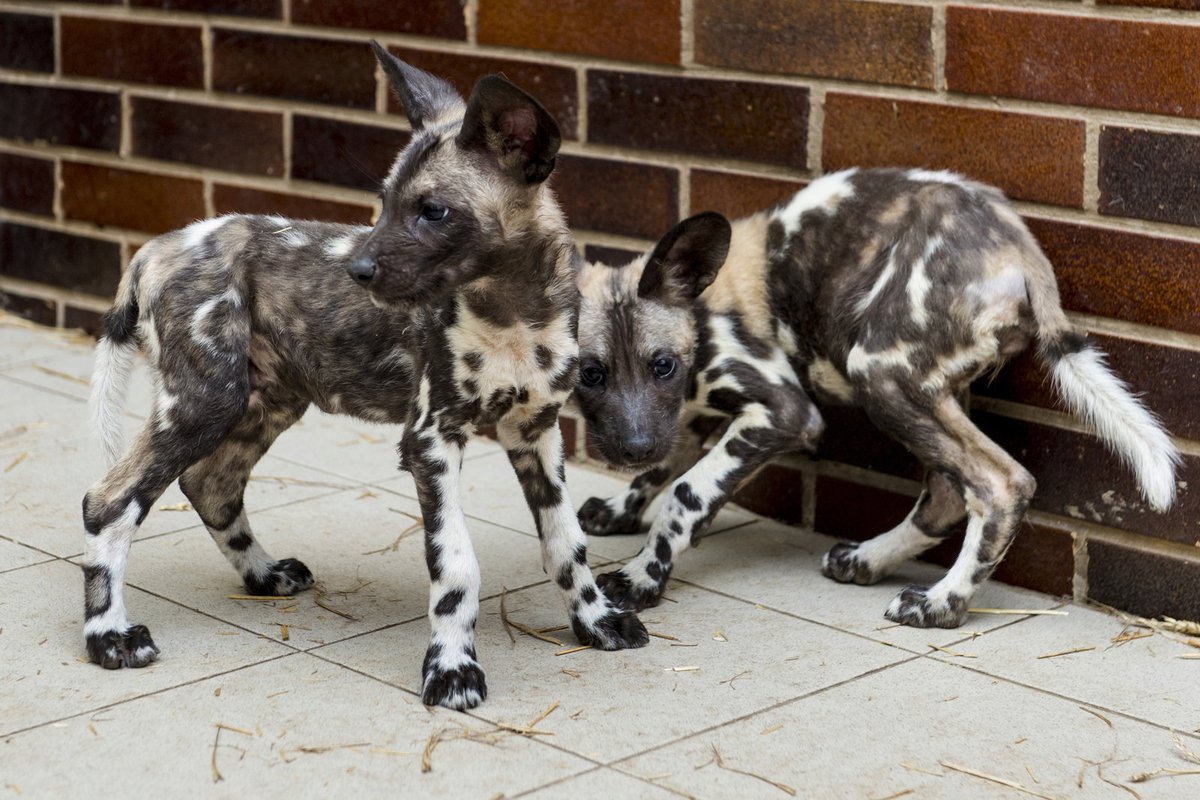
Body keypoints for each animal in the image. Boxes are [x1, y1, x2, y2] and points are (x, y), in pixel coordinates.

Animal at [83, 43, 648, 705]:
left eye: (432, 212)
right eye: (384, 206)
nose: (357, 270)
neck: (513, 312)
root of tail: (153, 249)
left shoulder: (536, 434)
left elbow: (567, 545)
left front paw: (596, 621)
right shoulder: (432, 441)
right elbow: (457, 567)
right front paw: (452, 668)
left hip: (264, 403)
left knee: (210, 484)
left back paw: (263, 574)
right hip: (204, 403)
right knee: (108, 501)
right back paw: (108, 637)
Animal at [573, 169, 1180, 628]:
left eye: (663, 365)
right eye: (590, 374)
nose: (631, 447)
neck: (701, 316)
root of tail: (1022, 250)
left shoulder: (783, 410)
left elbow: (687, 492)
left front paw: (641, 577)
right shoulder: (680, 418)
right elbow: (662, 469)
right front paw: (619, 510)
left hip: (880, 374)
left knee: (1000, 484)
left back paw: (940, 605)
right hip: (927, 389)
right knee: (948, 491)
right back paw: (867, 560)